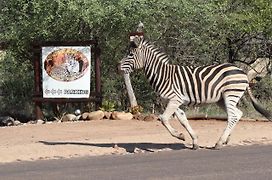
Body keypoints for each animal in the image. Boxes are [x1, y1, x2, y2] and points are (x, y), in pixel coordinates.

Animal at [119, 34, 272, 149]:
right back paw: (226, 139)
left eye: (130, 54)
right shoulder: (174, 100)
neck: (163, 75)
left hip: (230, 94)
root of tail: (242, 72)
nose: (118, 66)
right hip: (222, 99)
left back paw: (219, 143)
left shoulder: (175, 99)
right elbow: (182, 119)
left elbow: (163, 118)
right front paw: (193, 140)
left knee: (234, 116)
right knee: (236, 114)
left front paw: (179, 136)